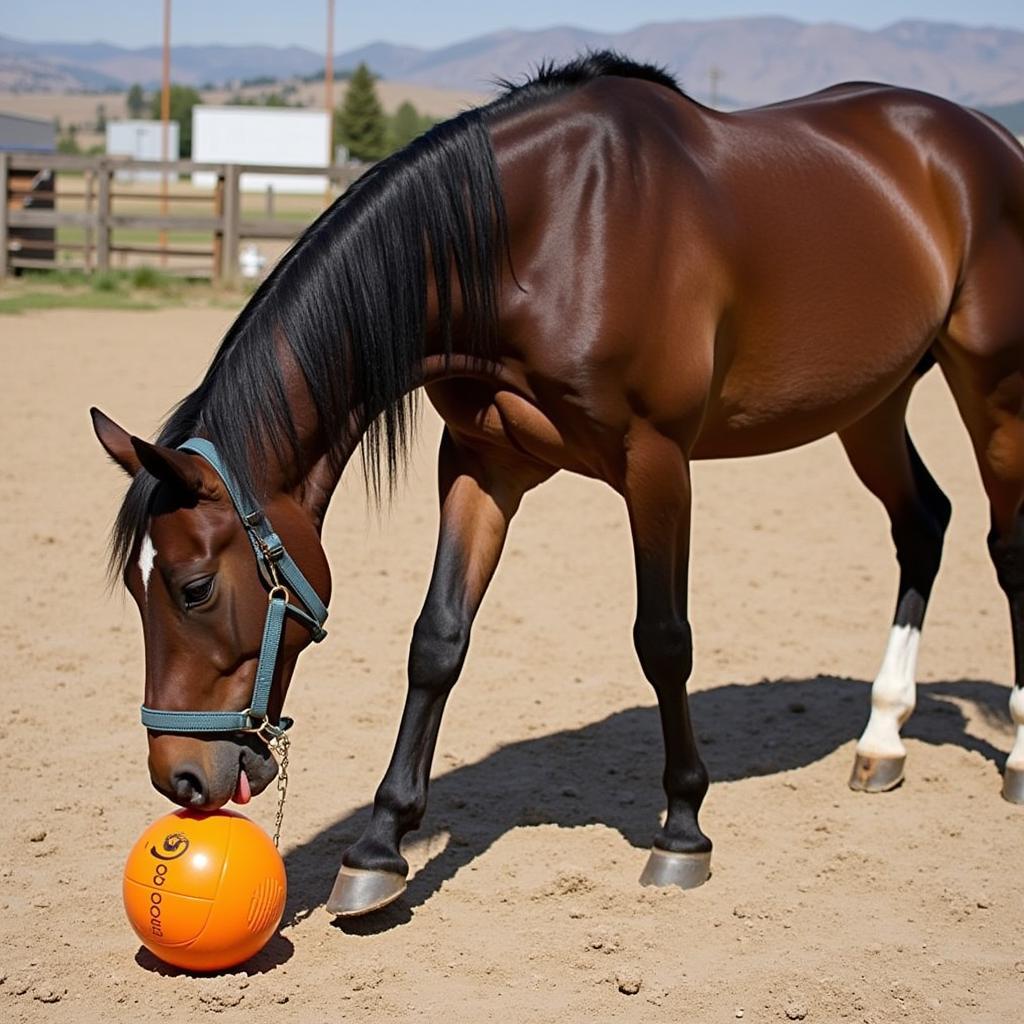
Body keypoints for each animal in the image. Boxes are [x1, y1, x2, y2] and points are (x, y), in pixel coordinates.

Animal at [92, 51, 1024, 917]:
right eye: (136, 591)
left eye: (194, 587)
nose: (178, 776)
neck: (553, 229)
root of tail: (987, 138)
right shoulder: (481, 462)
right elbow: (438, 640)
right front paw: (378, 848)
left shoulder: (657, 460)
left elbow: (664, 640)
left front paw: (683, 830)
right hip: (872, 403)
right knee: (923, 523)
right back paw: (883, 738)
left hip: (992, 391)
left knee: (1002, 546)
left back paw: (1013, 753)